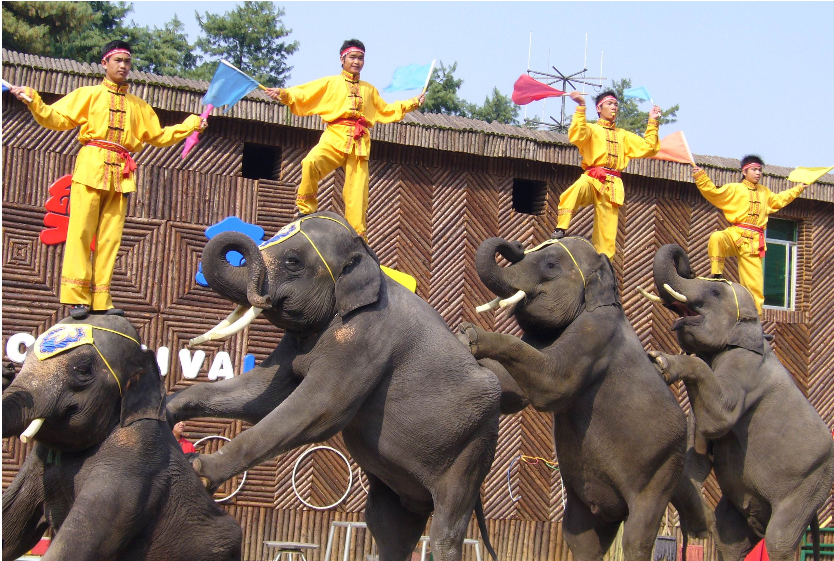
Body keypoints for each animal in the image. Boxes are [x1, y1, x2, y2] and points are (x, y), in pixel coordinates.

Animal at [166, 212, 498, 560]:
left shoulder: (365, 338)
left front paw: (200, 469)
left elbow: (318, 409)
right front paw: (167, 410)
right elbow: (264, 395)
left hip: (471, 451)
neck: (370, 262)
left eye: (293, 261)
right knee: (388, 526)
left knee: (444, 530)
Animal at [456, 235, 688, 560]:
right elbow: (513, 391)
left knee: (637, 536)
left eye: (551, 265)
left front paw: (470, 335)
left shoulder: (596, 333)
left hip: (663, 469)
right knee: (580, 538)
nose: (516, 244)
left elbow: (553, 383)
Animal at [640, 243, 828, 560]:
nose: (688, 267)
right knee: (729, 535)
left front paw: (661, 362)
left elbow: (720, 417)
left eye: (715, 293)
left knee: (779, 539)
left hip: (809, 484)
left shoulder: (743, 366)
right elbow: (698, 452)